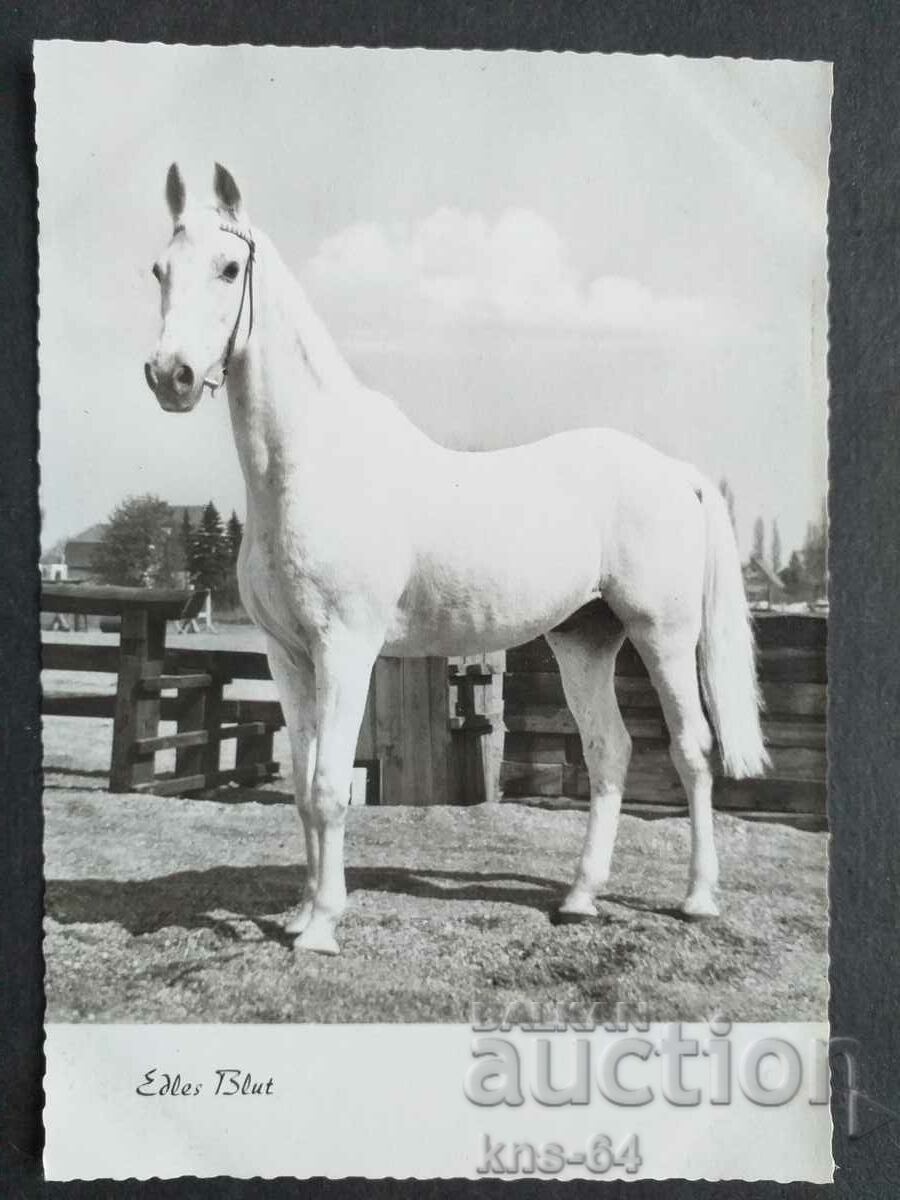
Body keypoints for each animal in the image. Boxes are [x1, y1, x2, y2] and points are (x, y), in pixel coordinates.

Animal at [146, 166, 768, 955]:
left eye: (229, 268)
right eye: (159, 269)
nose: (170, 375)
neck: (313, 461)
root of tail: (677, 474)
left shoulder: (345, 649)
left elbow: (328, 787)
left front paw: (322, 928)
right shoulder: (287, 656)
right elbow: (302, 784)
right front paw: (301, 913)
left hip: (664, 636)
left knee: (691, 750)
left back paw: (697, 899)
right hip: (584, 641)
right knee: (610, 751)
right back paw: (579, 899)